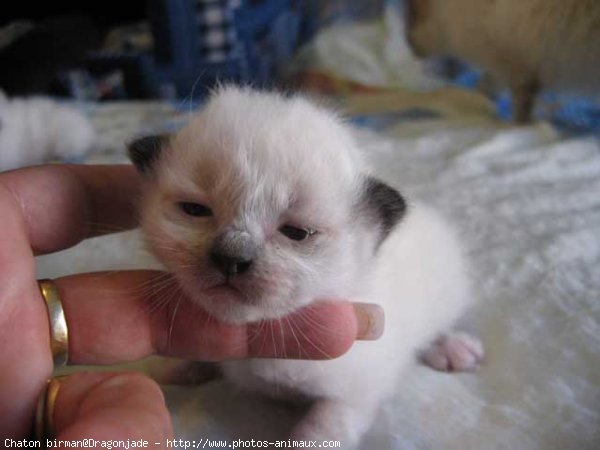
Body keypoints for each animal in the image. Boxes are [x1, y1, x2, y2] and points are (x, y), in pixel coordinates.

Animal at [127, 87, 482, 446]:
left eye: (296, 233)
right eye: (195, 210)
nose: (231, 258)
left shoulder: (353, 395)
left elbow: (316, 432)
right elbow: (190, 353)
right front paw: (162, 367)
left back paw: (455, 350)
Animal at [406, 0, 596, 122]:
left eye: (414, 13)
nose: (410, 45)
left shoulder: (521, 70)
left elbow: (521, 112)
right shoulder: (507, 67)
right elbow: (484, 87)